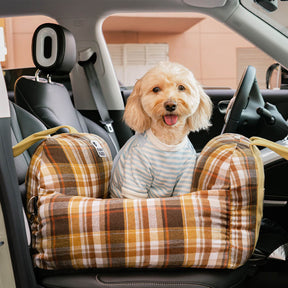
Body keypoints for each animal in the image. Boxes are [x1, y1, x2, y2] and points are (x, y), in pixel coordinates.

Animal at [109, 62, 213, 199]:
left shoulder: (185, 176)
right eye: (156, 89)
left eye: (181, 87)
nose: (170, 105)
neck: (168, 140)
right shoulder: (136, 174)